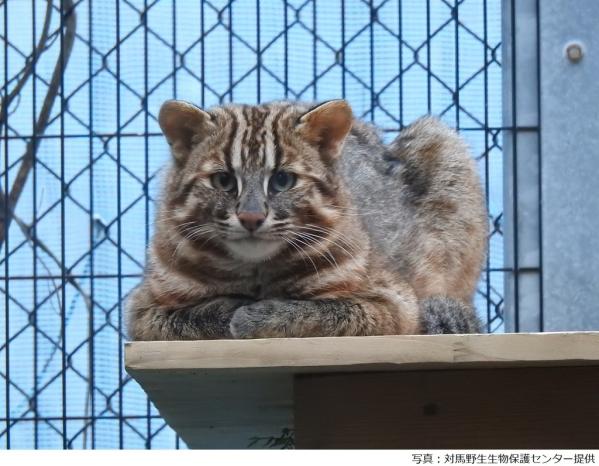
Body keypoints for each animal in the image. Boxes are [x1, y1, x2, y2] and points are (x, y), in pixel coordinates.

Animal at [126, 99, 488, 338]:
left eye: (283, 180)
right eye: (224, 181)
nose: (251, 218)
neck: (256, 272)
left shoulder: (392, 303)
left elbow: (325, 312)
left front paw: (255, 315)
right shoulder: (141, 311)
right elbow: (189, 317)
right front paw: (230, 309)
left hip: (442, 141)